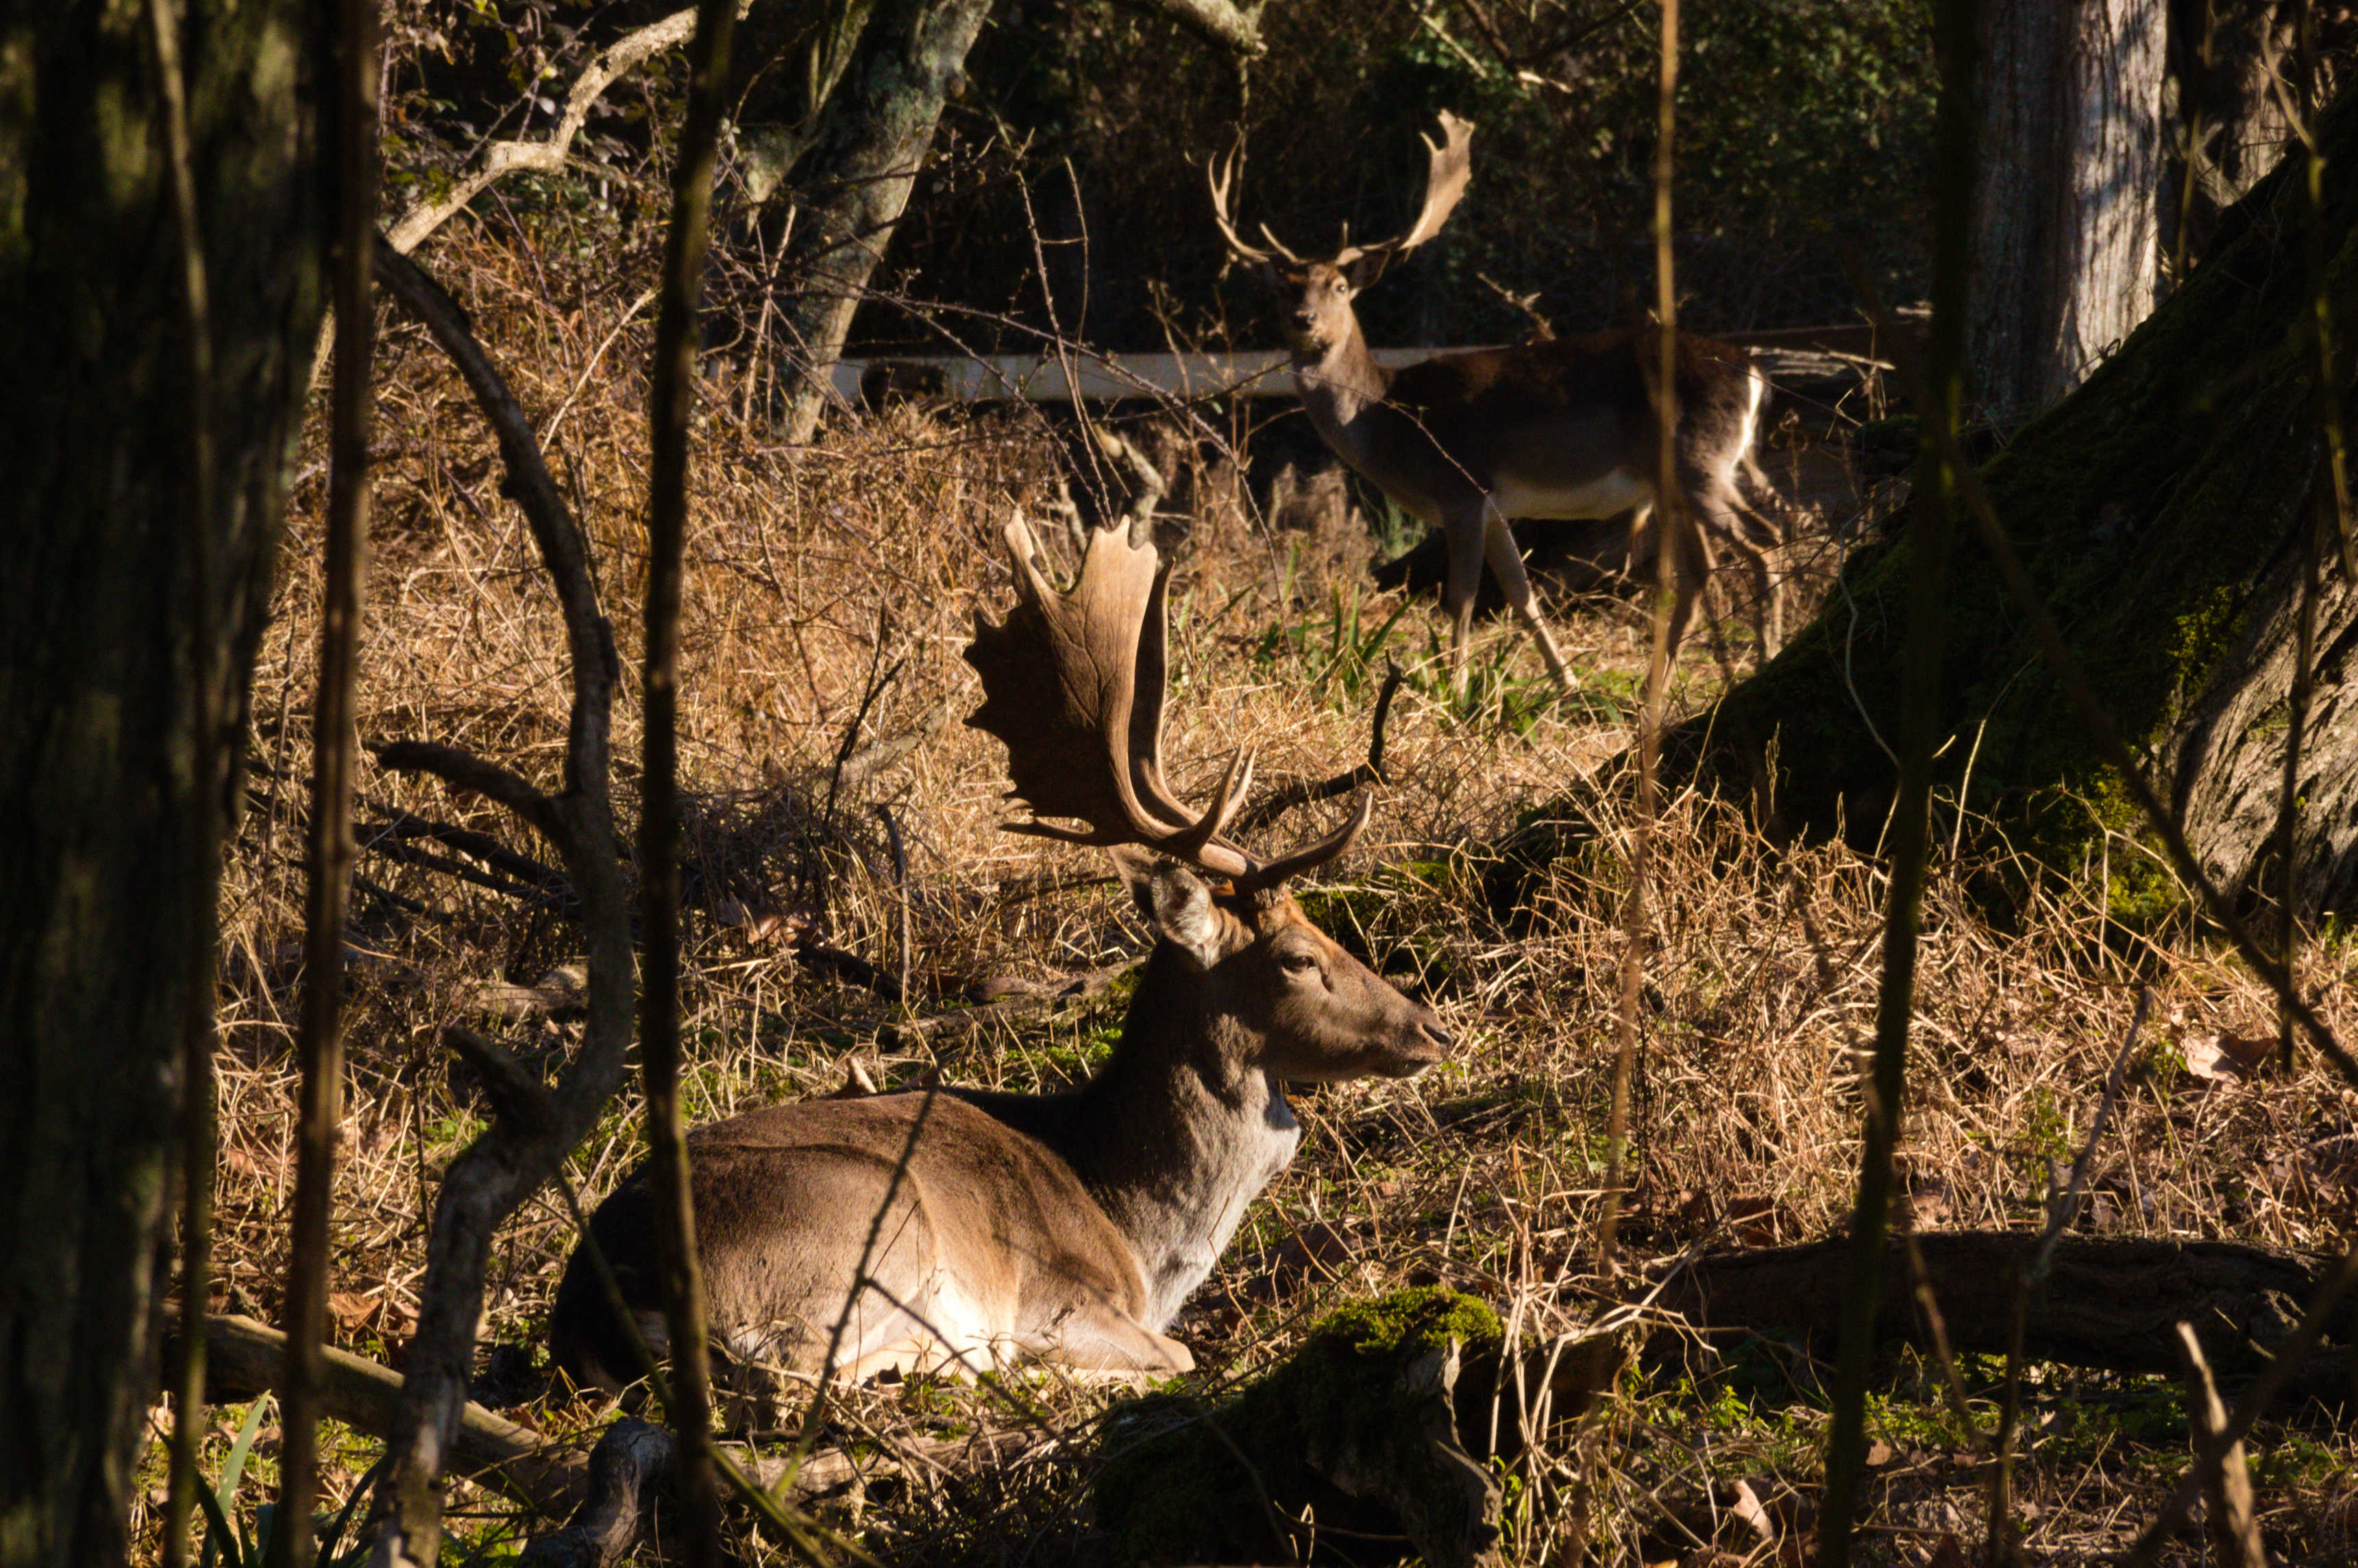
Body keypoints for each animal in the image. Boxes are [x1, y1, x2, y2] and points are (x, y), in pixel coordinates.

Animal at [549, 518, 1455, 1388]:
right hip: (862, 1223)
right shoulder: (1063, 1297)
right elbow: (1178, 1355)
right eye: (1299, 954)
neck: (1134, 1232)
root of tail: (591, 1308)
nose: (1433, 1028)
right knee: (791, 1369)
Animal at [1209, 112, 1784, 697]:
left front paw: (1453, 689)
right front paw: (1565, 684)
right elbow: (1521, 592)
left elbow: (1460, 596)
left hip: (1695, 460)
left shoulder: (1459, 486)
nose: (1304, 321)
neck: (1389, 418)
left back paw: (1763, 658)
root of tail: (1755, 373)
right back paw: (1658, 690)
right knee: (1700, 571)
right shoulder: (1496, 504)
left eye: (1340, 286)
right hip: (1678, 475)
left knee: (1764, 542)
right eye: (1284, 289)